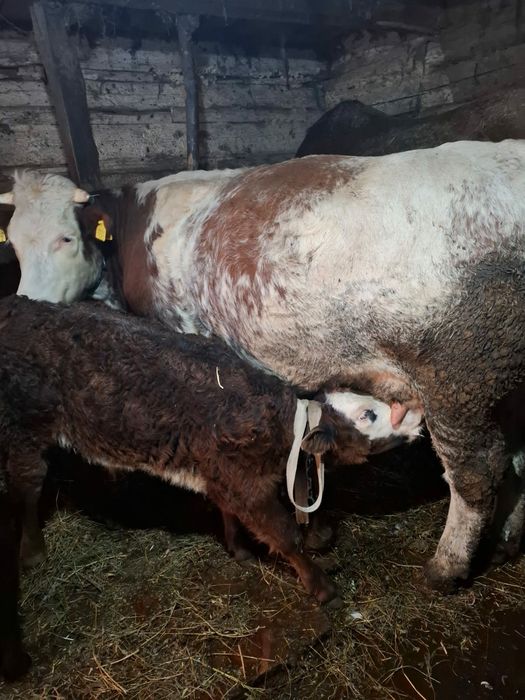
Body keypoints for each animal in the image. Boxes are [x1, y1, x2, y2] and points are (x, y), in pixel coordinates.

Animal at [0, 294, 423, 680]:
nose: (416, 411)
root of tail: (19, 307)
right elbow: (287, 537)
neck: (281, 426)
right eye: (368, 414)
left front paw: (239, 549)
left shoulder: (225, 476)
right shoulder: (245, 485)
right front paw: (323, 588)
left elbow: (230, 513)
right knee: (26, 488)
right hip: (24, 429)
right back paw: (33, 551)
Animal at [2, 139, 525, 595]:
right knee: (518, 458)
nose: (28, 305)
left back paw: (446, 567)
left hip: (459, 378)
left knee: (478, 471)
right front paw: (313, 528)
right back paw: (506, 543)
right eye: (15, 246)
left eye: (68, 237)